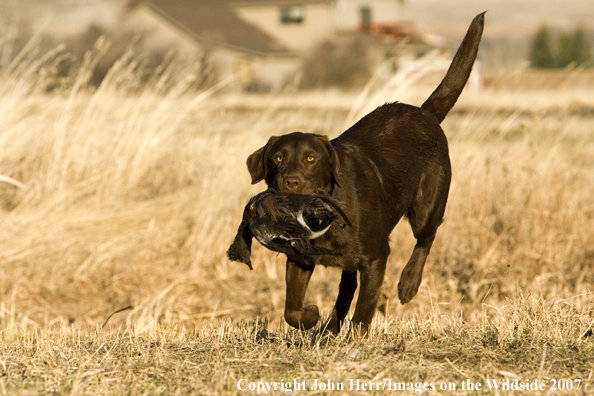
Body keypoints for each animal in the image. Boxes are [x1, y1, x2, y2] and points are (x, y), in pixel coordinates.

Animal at [240, 13, 480, 334]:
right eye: (278, 157)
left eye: (311, 158)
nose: (290, 182)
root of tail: (424, 112)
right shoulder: (299, 259)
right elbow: (292, 309)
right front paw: (313, 316)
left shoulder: (376, 256)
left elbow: (366, 304)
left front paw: (356, 334)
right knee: (347, 286)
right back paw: (329, 328)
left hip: (427, 206)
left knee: (426, 237)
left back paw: (408, 284)